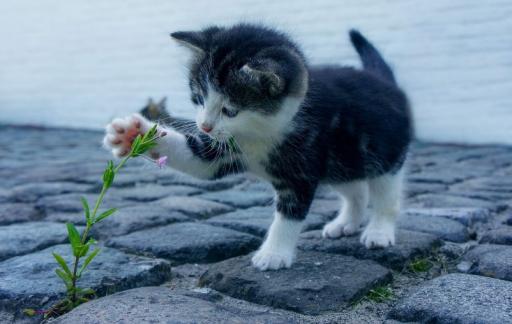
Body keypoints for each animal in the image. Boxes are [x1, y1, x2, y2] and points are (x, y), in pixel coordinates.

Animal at [104, 23, 412, 270]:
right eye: (199, 98)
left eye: (230, 110)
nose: (204, 126)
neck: (261, 132)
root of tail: (385, 82)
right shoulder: (223, 149)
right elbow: (198, 160)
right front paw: (133, 133)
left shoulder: (302, 166)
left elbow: (289, 214)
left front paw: (274, 254)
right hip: (342, 161)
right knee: (356, 189)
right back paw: (346, 222)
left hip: (384, 155)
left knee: (386, 195)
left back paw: (379, 231)